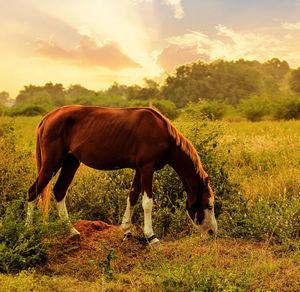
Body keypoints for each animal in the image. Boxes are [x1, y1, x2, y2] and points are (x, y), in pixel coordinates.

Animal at [26, 105, 218, 244]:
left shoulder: (140, 169)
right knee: (33, 192)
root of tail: (48, 118)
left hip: (71, 162)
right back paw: (28, 231)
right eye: (209, 205)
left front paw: (126, 231)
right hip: (51, 165)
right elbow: (147, 202)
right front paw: (151, 236)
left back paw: (73, 232)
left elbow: (132, 197)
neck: (162, 133)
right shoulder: (147, 167)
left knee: (59, 191)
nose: (212, 233)